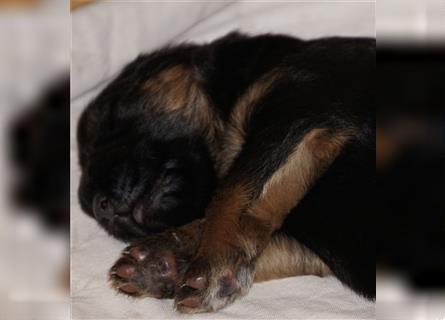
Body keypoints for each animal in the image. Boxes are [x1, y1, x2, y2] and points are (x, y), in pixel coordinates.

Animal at [77, 32, 374, 312]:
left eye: (111, 120)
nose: (99, 208)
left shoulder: (299, 111)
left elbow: (232, 192)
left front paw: (209, 261)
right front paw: (164, 258)